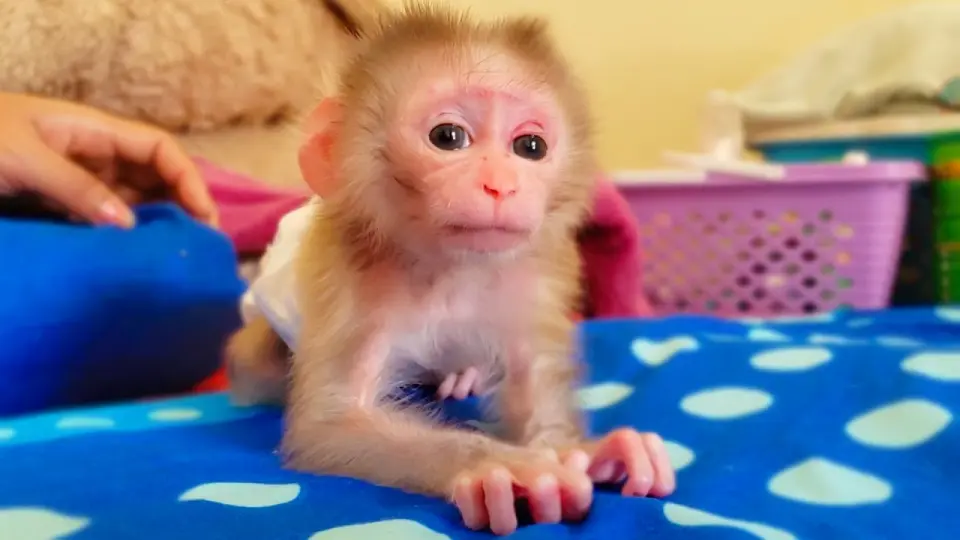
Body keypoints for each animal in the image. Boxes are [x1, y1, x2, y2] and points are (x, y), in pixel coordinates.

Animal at [226, 3, 676, 535]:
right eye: (448, 137)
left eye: (530, 147)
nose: (501, 185)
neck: (451, 271)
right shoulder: (349, 277)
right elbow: (332, 425)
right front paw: (500, 467)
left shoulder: (534, 275)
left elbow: (532, 376)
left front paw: (584, 453)